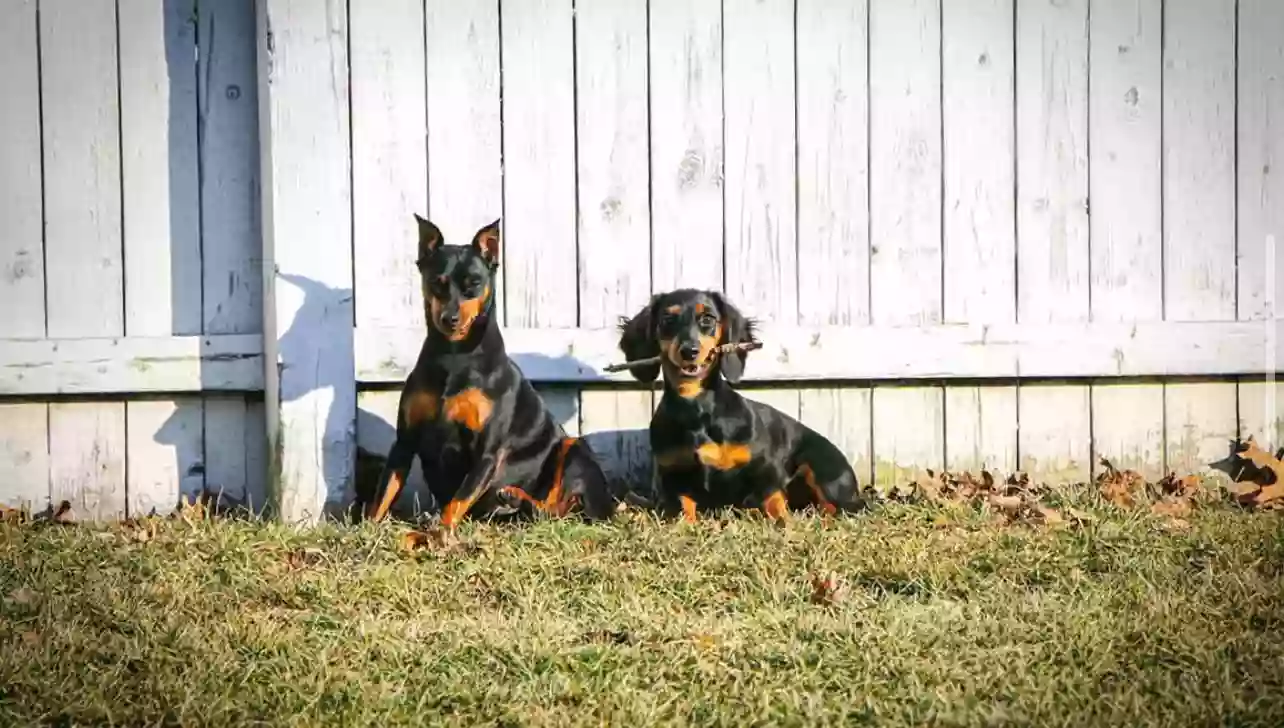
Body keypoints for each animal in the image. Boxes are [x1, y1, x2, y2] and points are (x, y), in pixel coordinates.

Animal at [362, 216, 616, 528]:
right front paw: (368, 529)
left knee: (556, 508)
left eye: (474, 283)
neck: (454, 356)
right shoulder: (404, 441)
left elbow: (457, 500)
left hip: (573, 449)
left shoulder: (487, 452)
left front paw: (439, 533)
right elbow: (385, 491)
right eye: (436, 283)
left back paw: (515, 498)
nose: (449, 318)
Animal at [616, 290, 867, 523]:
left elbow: (774, 500)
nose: (689, 351)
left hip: (820, 468)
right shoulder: (673, 476)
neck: (697, 409)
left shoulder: (767, 469)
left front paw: (783, 523)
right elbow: (682, 508)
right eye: (668, 319)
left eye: (707, 318)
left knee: (837, 508)